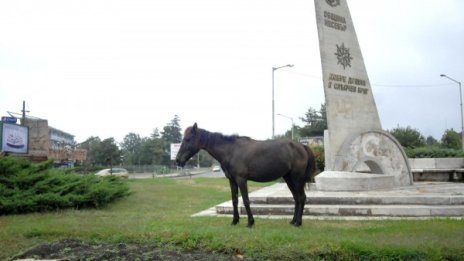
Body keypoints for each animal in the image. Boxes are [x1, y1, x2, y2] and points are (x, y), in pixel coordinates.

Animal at [176, 123, 318, 226]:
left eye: (188, 139)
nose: (177, 160)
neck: (231, 151)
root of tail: (302, 146)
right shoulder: (232, 181)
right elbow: (234, 200)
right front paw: (234, 220)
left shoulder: (241, 180)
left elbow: (245, 200)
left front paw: (250, 222)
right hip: (288, 179)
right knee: (296, 198)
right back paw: (293, 221)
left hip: (297, 179)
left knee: (301, 198)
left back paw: (298, 222)